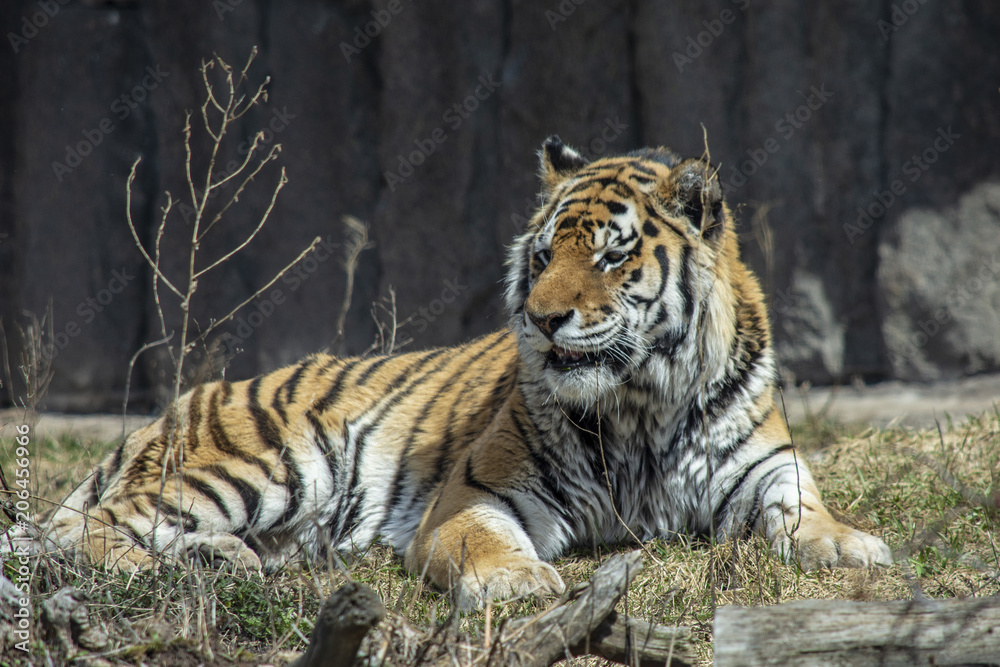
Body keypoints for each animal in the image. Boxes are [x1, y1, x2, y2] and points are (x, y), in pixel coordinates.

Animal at [7, 136, 891, 607]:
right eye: (545, 256)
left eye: (612, 256)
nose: (543, 317)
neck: (642, 404)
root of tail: (175, 406)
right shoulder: (479, 492)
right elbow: (485, 544)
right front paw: (523, 584)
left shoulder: (767, 468)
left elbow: (805, 511)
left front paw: (852, 545)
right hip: (264, 463)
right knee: (87, 529)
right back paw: (164, 567)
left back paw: (226, 561)